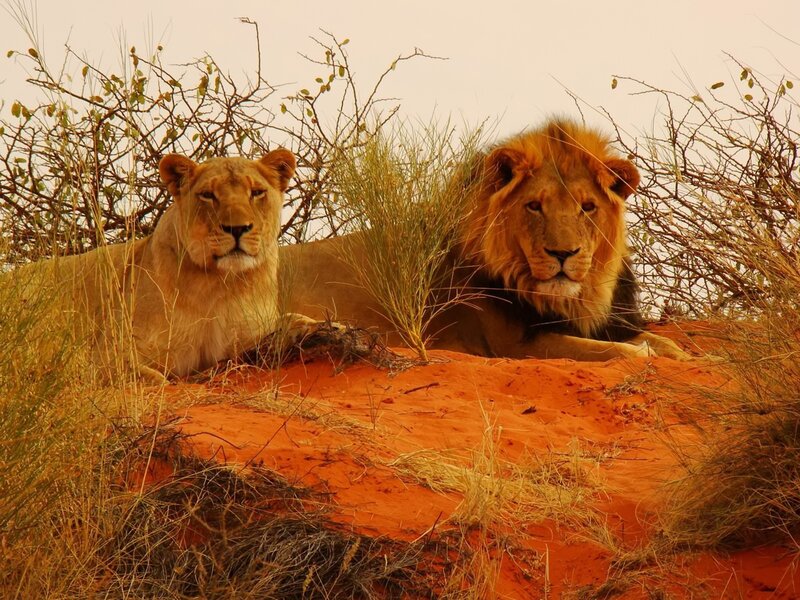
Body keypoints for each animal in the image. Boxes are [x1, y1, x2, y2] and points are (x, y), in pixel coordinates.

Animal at [18, 148, 311, 379]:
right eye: (208, 195)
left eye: (257, 192)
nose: (236, 228)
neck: (219, 282)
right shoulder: (110, 352)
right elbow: (155, 380)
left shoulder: (242, 337)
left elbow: (293, 318)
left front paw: (305, 326)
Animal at [280, 119, 690, 361]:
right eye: (534, 206)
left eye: (588, 207)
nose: (563, 254)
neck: (578, 299)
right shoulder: (514, 346)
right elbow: (617, 353)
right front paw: (643, 354)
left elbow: (666, 343)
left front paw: (689, 356)